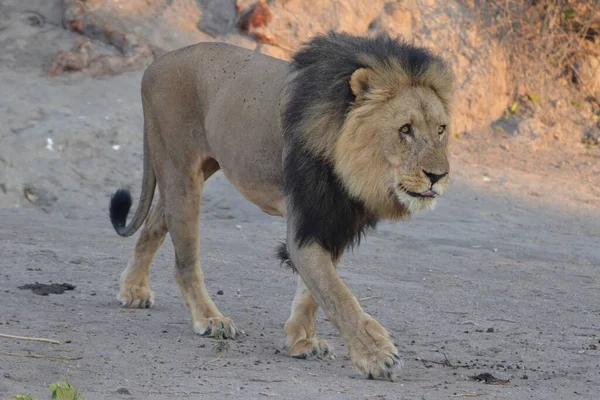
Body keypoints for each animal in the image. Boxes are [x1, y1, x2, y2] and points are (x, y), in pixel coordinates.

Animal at [109, 32, 454, 382]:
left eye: (441, 129)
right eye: (405, 129)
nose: (438, 176)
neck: (354, 168)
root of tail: (157, 63)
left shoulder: (329, 221)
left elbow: (312, 292)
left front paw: (300, 340)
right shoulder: (306, 221)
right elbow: (336, 294)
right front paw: (376, 355)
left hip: (193, 171)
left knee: (154, 224)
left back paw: (133, 289)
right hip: (181, 172)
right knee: (184, 260)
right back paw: (210, 319)